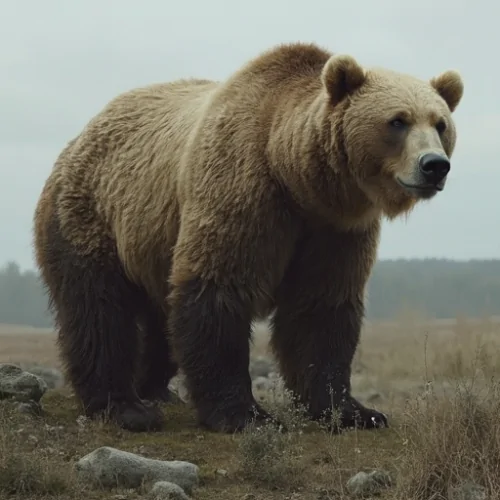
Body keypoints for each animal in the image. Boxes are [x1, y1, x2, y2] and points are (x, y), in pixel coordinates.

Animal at [33, 43, 464, 434]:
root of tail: (81, 136)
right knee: (99, 309)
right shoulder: (244, 190)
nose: (434, 166)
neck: (298, 179)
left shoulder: (336, 229)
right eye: (398, 121)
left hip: (152, 242)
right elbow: (219, 290)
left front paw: (354, 411)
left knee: (158, 317)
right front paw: (244, 414)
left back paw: (154, 390)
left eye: (440, 124)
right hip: (93, 214)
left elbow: (321, 308)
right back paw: (124, 407)